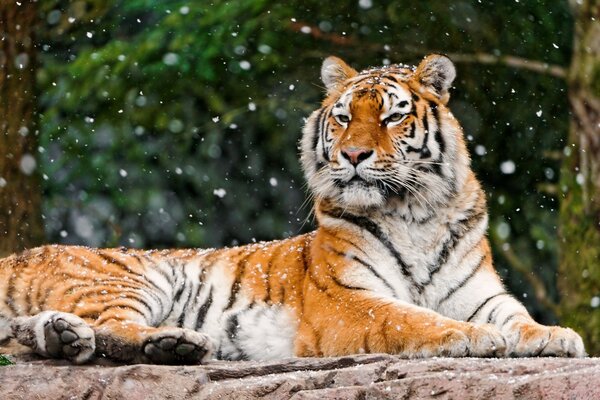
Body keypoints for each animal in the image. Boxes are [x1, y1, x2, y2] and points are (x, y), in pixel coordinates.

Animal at [0, 54, 584, 366]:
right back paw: (175, 343)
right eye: (344, 118)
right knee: (112, 328)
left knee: (49, 331)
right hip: (129, 278)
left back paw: (70, 337)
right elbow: (410, 318)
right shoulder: (347, 299)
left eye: (392, 117)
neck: (415, 212)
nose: (354, 155)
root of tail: (19, 254)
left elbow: (517, 316)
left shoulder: (481, 293)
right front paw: (470, 337)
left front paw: (556, 336)